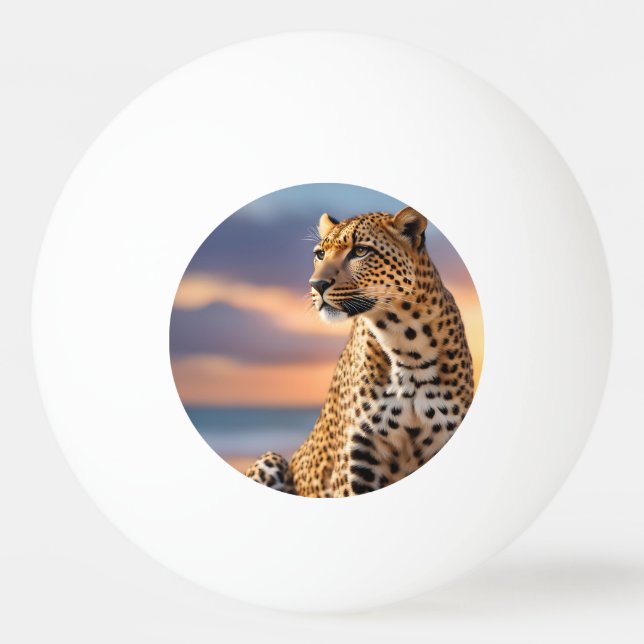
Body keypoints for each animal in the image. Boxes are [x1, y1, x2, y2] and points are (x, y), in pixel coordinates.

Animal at [245, 207, 475, 497]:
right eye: (320, 254)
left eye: (360, 251)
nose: (316, 284)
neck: (408, 347)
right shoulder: (355, 464)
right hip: (271, 458)